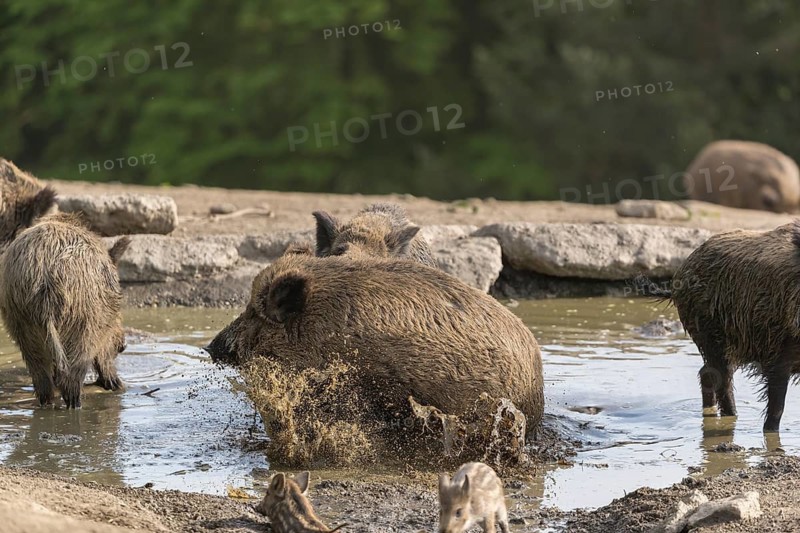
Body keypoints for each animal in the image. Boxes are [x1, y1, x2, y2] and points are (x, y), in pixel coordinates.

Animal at [0, 214, 130, 408]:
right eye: (119, 316)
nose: (123, 345)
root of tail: (44, 279)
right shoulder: (103, 324)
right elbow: (103, 354)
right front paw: (117, 385)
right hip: (84, 319)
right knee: (72, 377)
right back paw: (77, 404)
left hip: (21, 321)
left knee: (41, 379)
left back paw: (47, 404)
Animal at [664, 220, 800, 431]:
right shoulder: (780, 351)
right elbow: (777, 407)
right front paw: (769, 430)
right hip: (712, 335)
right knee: (720, 378)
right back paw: (730, 418)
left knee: (707, 374)